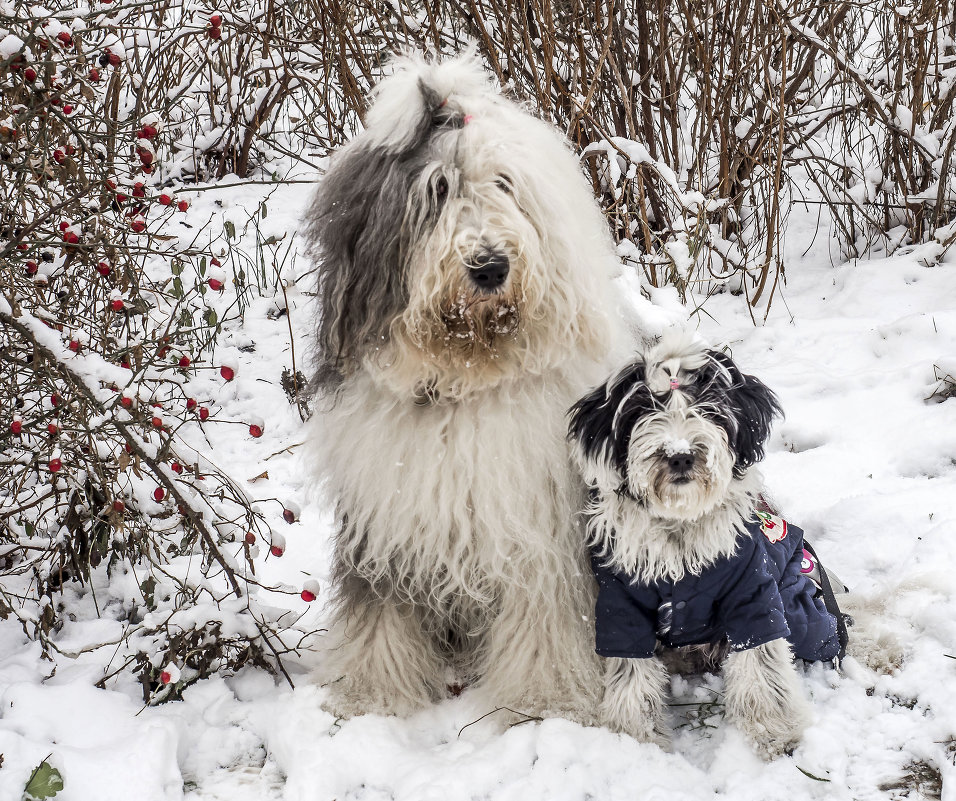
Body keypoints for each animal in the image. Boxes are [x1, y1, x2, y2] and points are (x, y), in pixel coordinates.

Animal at [302, 54, 624, 720]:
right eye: (438, 190)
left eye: (504, 184)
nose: (490, 266)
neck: (461, 386)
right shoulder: (386, 523)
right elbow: (381, 616)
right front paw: (371, 695)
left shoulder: (538, 533)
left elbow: (545, 616)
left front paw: (543, 702)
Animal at [568, 334, 844, 760]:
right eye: (643, 409)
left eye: (708, 407)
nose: (680, 455)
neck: (678, 528)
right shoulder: (620, 604)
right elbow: (631, 672)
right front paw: (637, 740)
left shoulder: (754, 594)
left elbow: (762, 663)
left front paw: (775, 731)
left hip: (800, 613)